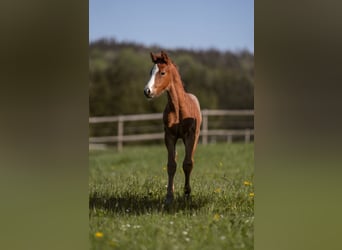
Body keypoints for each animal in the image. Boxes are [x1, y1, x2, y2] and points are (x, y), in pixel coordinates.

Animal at [143, 51, 202, 205]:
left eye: (162, 72)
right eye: (150, 72)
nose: (147, 91)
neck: (179, 108)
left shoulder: (190, 136)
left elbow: (187, 164)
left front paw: (187, 193)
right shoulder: (169, 136)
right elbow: (171, 165)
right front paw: (169, 196)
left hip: (195, 138)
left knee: (190, 160)